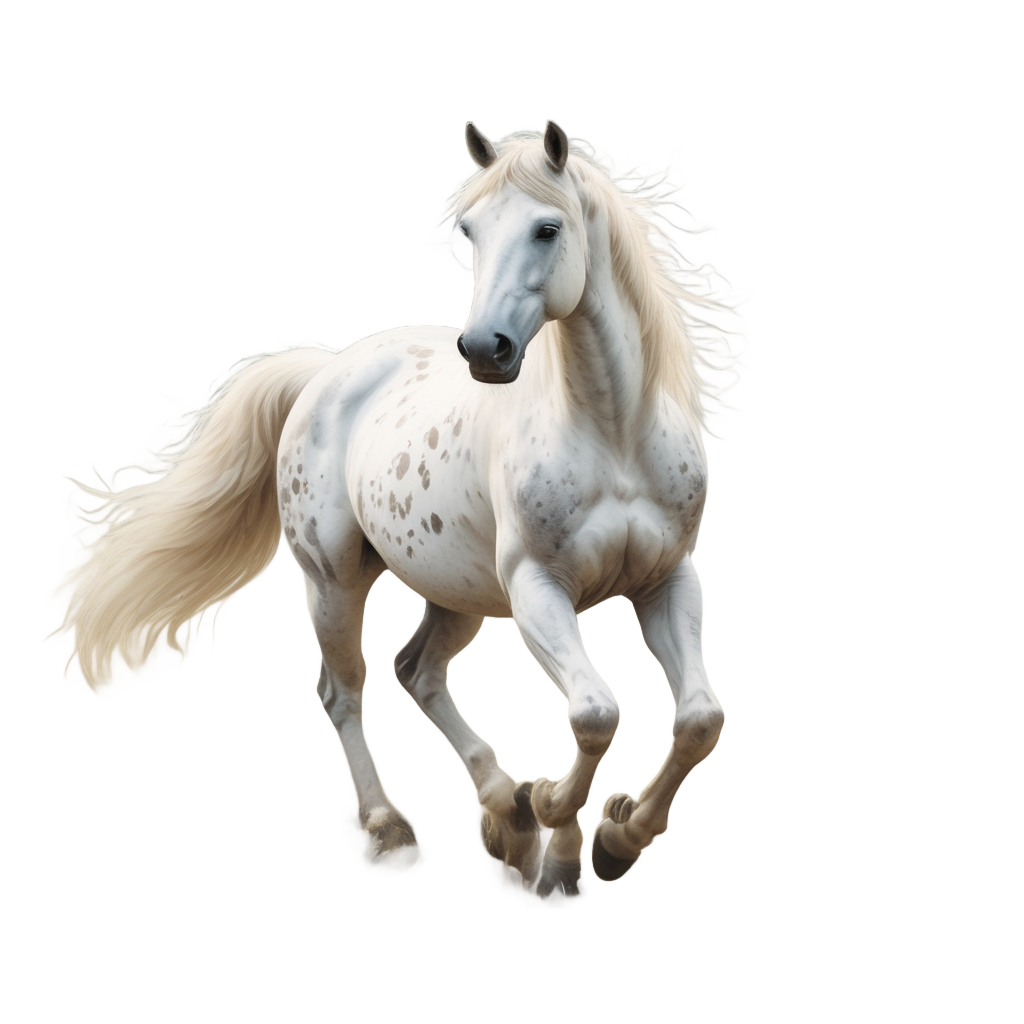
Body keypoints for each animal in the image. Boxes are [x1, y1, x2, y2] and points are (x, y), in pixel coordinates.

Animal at [71, 121, 723, 891]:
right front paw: (556, 804)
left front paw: (617, 833)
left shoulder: (663, 583)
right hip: (338, 586)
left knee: (419, 676)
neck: (613, 438)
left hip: (460, 596)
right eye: (468, 229)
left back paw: (499, 794)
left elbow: (697, 719)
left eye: (548, 227)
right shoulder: (539, 589)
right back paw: (392, 827)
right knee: (345, 698)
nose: (484, 348)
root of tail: (325, 371)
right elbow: (595, 715)